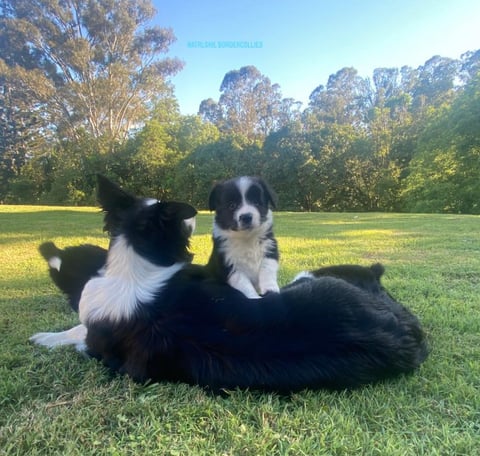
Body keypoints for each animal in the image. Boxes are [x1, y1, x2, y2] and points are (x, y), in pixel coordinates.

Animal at [31, 176, 428, 394]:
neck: (133, 269)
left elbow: (78, 330)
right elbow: (77, 329)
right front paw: (49, 337)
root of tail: (404, 331)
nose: (195, 216)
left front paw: (47, 337)